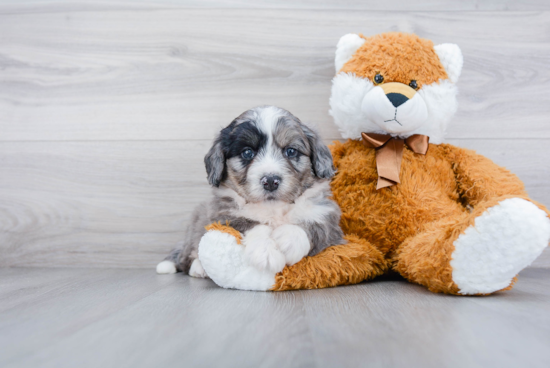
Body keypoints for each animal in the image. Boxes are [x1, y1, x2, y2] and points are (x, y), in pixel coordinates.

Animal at [156, 106, 344, 278]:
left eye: (291, 151)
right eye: (247, 152)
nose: (270, 181)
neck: (274, 209)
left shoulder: (329, 221)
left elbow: (315, 226)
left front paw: (288, 240)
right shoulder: (224, 216)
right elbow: (253, 225)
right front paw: (266, 253)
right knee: (187, 254)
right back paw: (191, 267)